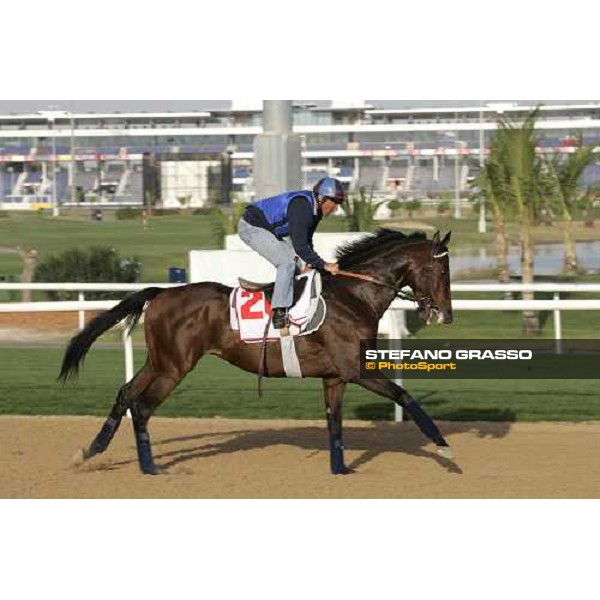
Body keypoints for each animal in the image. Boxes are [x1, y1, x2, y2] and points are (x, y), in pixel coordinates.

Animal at [62, 229, 454, 474]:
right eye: (441, 270)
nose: (446, 315)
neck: (354, 296)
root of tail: (161, 292)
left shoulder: (335, 377)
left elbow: (335, 422)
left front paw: (341, 468)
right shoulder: (356, 369)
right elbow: (403, 395)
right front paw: (441, 444)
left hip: (160, 361)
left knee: (126, 393)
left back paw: (91, 450)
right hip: (175, 366)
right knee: (142, 407)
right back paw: (149, 467)